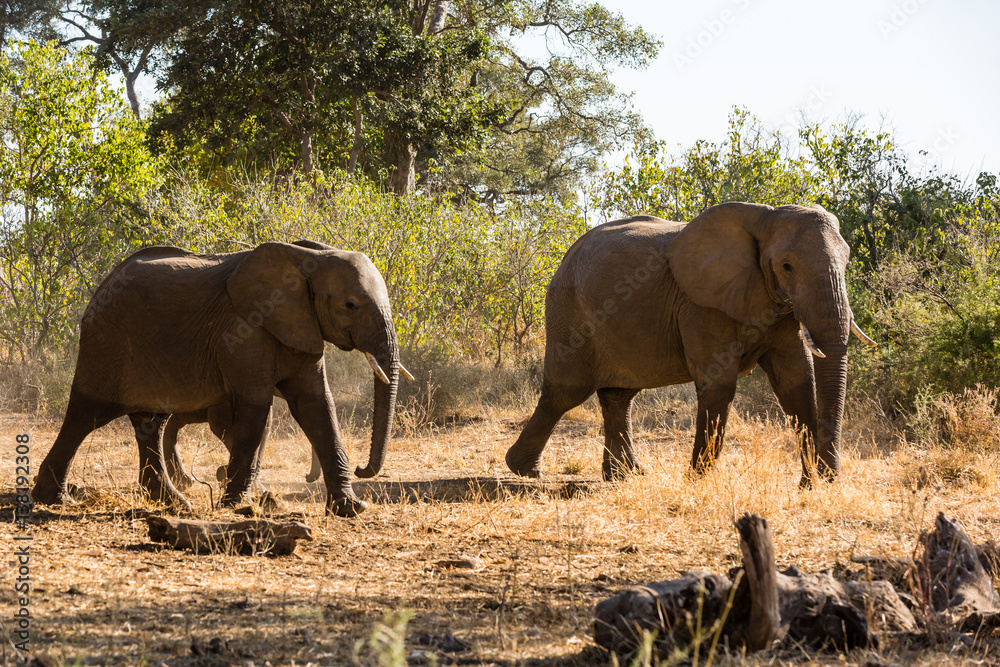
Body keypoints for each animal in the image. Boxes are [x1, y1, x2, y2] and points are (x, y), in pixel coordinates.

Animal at [33, 240, 403, 517]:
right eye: (350, 304)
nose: (362, 469)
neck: (307, 259)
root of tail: (104, 283)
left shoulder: (302, 326)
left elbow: (316, 405)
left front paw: (352, 508)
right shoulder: (242, 330)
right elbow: (256, 406)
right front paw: (238, 505)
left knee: (151, 423)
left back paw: (175, 504)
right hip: (105, 341)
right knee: (86, 415)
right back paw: (55, 499)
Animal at [504, 202, 876, 485]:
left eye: (846, 263)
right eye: (787, 266)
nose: (828, 475)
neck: (765, 217)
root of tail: (566, 256)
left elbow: (796, 384)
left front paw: (810, 485)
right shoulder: (700, 304)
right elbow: (720, 385)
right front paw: (697, 480)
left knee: (618, 396)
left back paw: (627, 475)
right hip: (569, 310)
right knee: (565, 393)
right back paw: (524, 471)